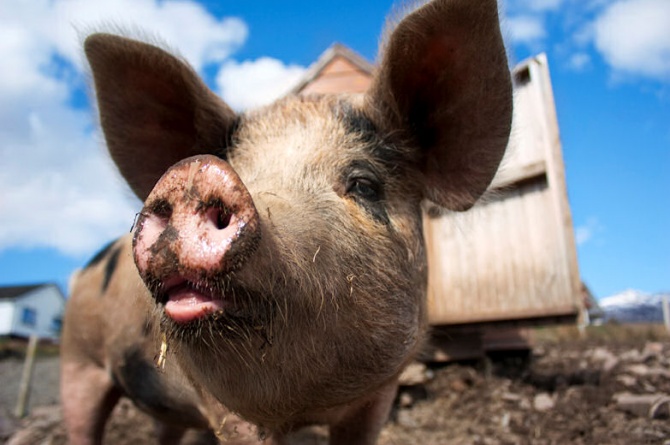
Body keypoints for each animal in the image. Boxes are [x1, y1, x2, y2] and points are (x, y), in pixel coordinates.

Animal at [77, 0, 516, 440]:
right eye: (239, 169)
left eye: (364, 184)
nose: (194, 174)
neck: (312, 409)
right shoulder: (224, 410)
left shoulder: (379, 398)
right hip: (76, 362)